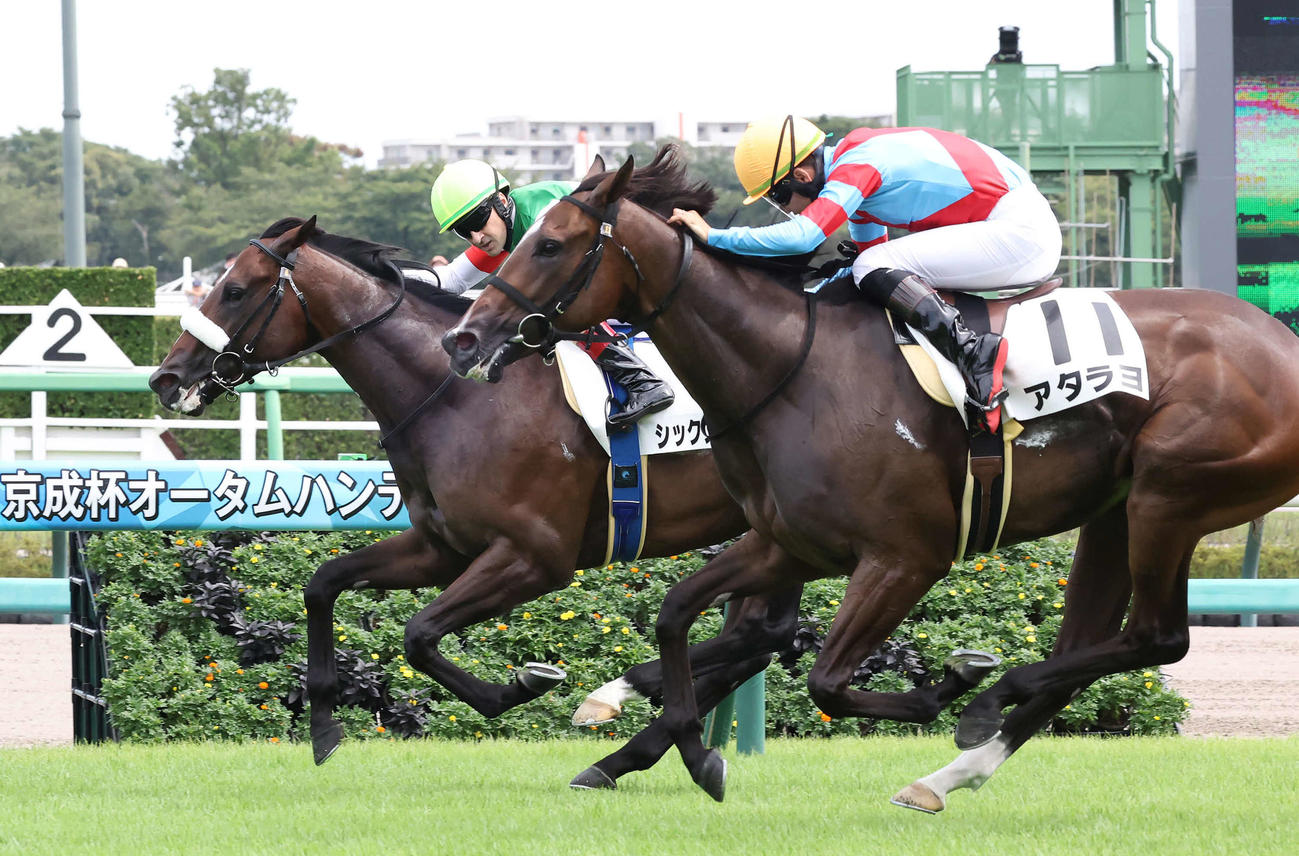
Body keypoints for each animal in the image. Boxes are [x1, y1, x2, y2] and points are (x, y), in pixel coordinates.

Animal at [147, 205, 799, 770]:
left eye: (235, 290)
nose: (165, 378)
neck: (459, 398)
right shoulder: (442, 546)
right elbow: (324, 584)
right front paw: (325, 724)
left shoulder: (535, 557)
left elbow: (418, 634)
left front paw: (522, 685)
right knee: (762, 634)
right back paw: (622, 751)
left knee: (757, 634)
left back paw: (619, 706)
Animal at [443, 148, 1299, 810]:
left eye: (551, 244)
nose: (465, 337)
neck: (790, 369)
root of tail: (1280, 342)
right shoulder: (789, 542)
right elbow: (676, 613)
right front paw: (691, 751)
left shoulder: (904, 556)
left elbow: (824, 681)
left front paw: (945, 683)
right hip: (1113, 512)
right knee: (1096, 648)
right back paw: (948, 775)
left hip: (1170, 494)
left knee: (1156, 637)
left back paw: (984, 701)